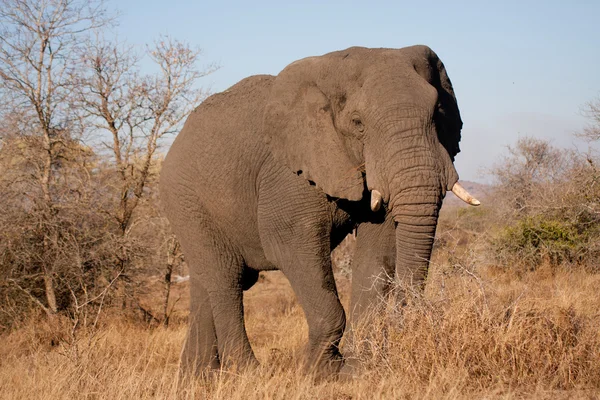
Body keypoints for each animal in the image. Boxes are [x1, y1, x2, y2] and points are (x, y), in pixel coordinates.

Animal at [158, 44, 478, 378]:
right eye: (358, 123)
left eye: (438, 114)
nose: (409, 324)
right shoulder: (290, 170)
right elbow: (287, 243)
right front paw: (319, 372)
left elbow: (379, 247)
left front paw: (357, 370)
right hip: (185, 200)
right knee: (226, 278)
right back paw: (247, 373)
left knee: (204, 281)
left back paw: (196, 377)